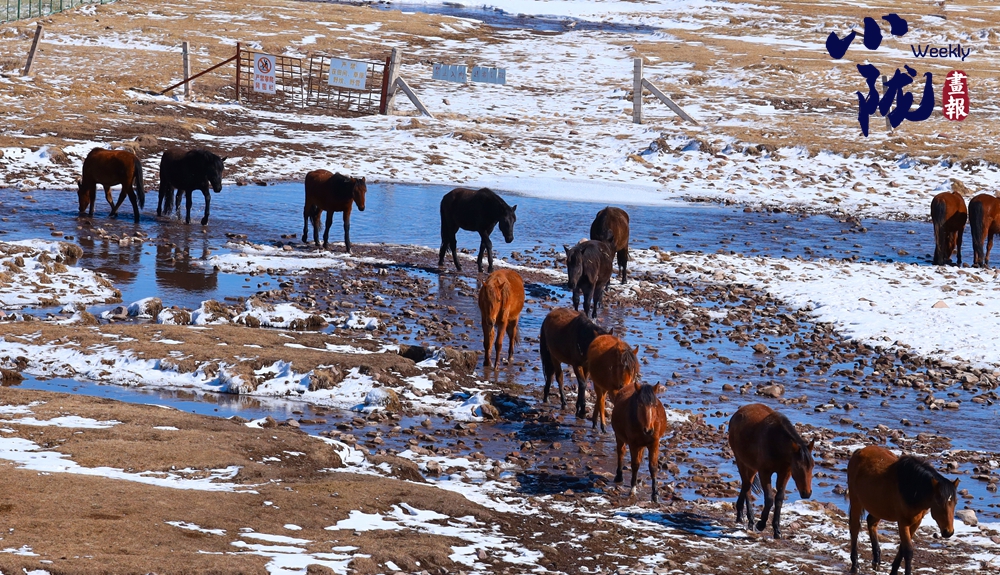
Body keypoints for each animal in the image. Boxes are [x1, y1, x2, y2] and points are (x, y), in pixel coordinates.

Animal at [728, 403, 814, 539]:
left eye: (812, 466)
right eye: (798, 467)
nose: (807, 493)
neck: (775, 441)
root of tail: (737, 413)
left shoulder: (784, 473)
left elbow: (779, 499)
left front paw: (777, 530)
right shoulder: (765, 472)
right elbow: (769, 498)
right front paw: (761, 524)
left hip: (751, 466)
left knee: (746, 485)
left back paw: (743, 516)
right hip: (741, 461)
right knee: (747, 485)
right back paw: (748, 519)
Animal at [848, 445, 958, 575]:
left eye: (955, 503)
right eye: (938, 502)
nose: (948, 532)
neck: (912, 488)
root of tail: (859, 451)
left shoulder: (916, 522)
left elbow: (902, 548)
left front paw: (894, 571)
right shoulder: (903, 522)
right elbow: (908, 551)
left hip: (879, 507)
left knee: (871, 522)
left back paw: (876, 560)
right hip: (856, 501)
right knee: (855, 528)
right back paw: (855, 565)